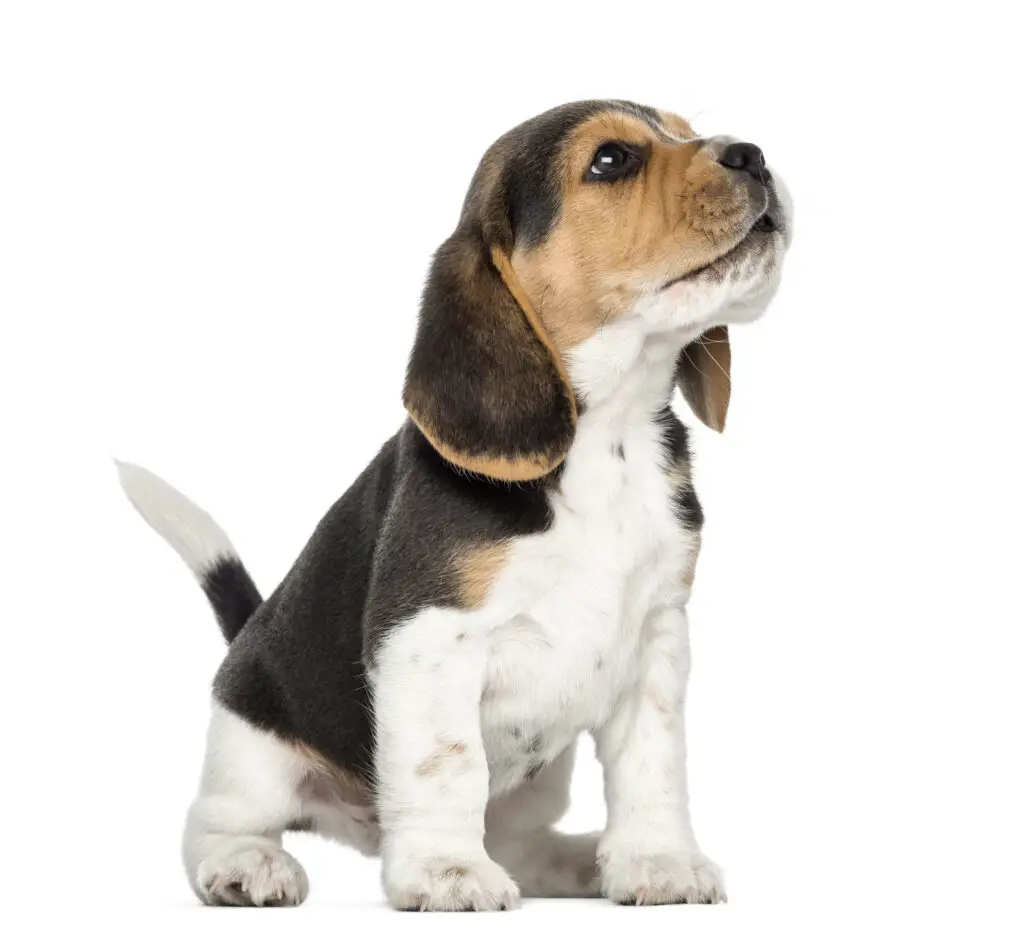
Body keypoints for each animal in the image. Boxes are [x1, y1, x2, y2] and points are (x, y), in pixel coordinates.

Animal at [119, 99, 790, 909]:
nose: (753, 155)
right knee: (213, 824)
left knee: (519, 840)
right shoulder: (428, 639)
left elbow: (651, 767)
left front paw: (656, 861)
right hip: (254, 748)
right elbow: (448, 765)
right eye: (611, 160)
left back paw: (581, 862)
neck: (610, 435)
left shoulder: (657, 640)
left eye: (686, 131)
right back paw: (247, 867)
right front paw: (446, 871)